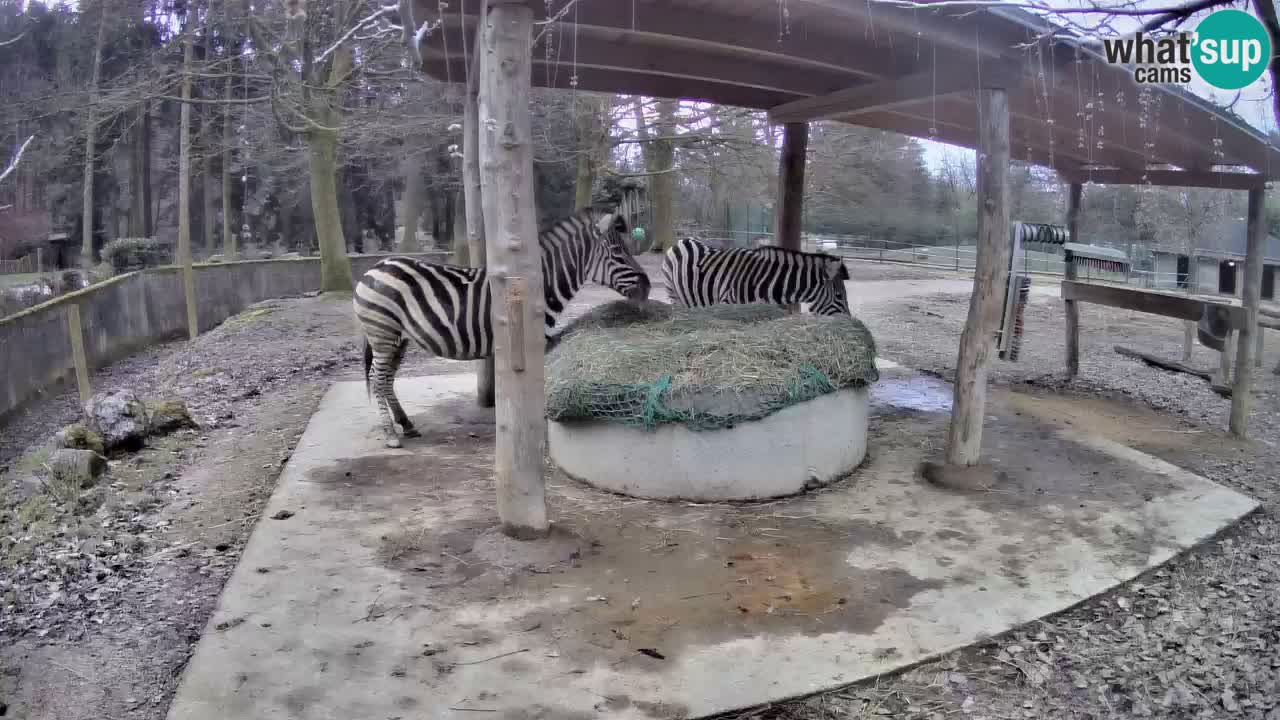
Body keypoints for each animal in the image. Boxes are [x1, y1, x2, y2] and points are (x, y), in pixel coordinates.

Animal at [353, 207, 650, 443]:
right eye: (618, 252)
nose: (647, 287)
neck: (538, 289)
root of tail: (374, 268)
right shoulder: (533, 342)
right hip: (382, 333)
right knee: (377, 378)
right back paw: (390, 435)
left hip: (397, 338)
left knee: (387, 380)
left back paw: (406, 425)